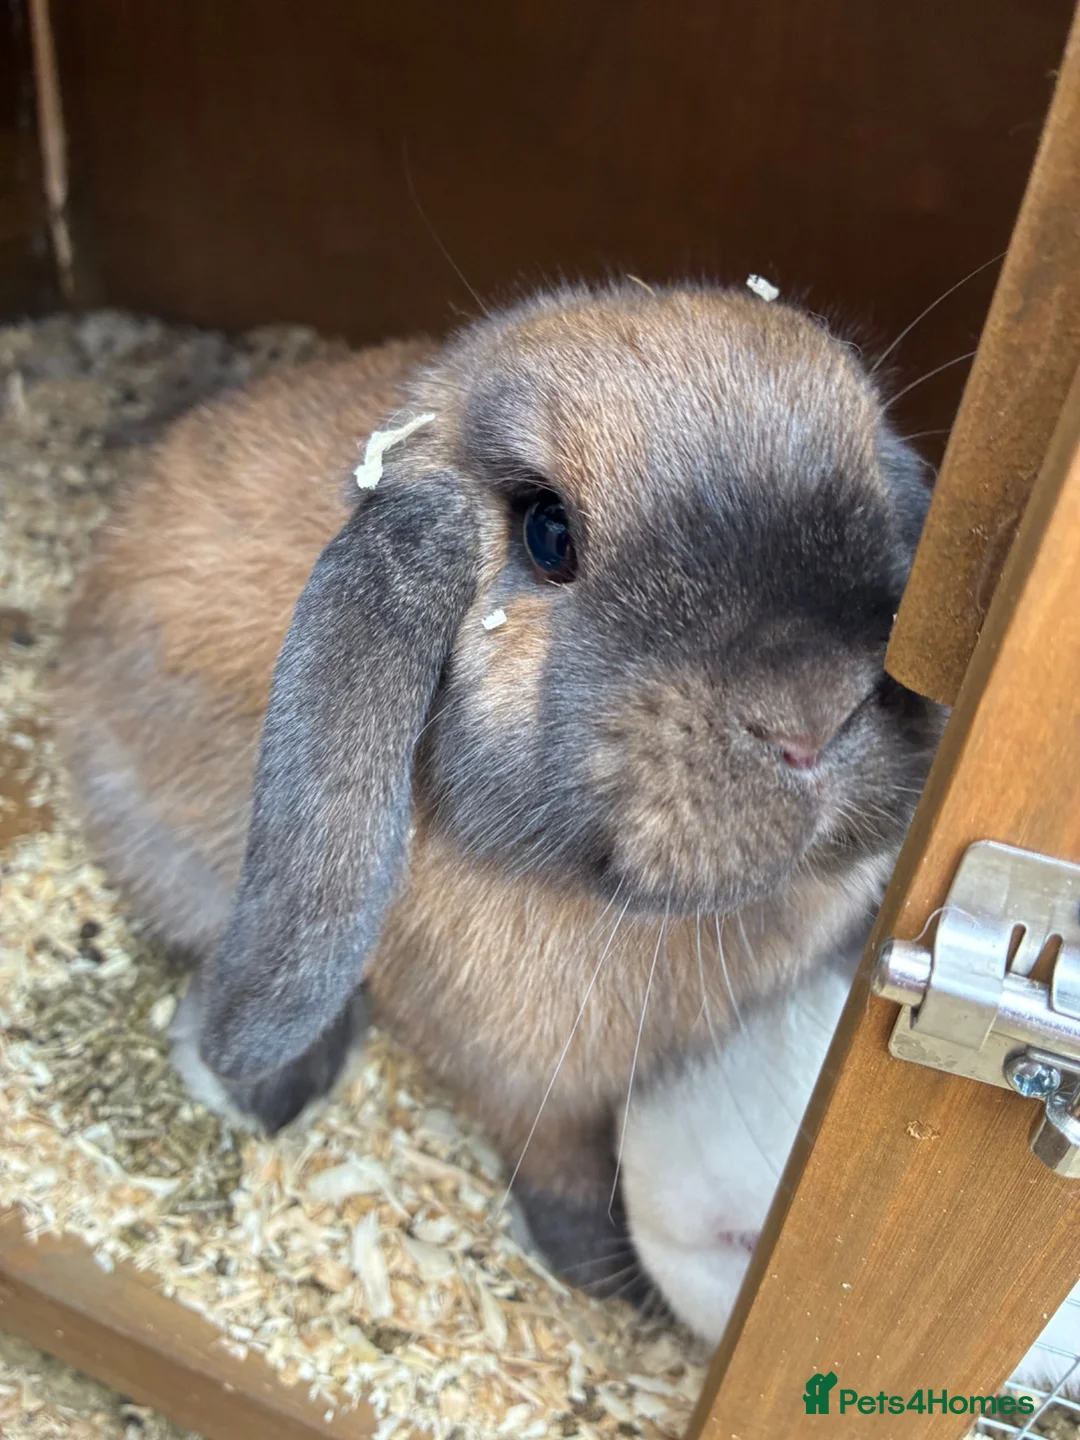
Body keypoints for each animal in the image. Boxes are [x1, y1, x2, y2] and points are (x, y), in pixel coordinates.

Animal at [54, 279, 943, 1289]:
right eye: (547, 533)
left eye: (873, 474)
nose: (814, 714)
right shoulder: (529, 1085)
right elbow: (557, 1161)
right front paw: (598, 1269)